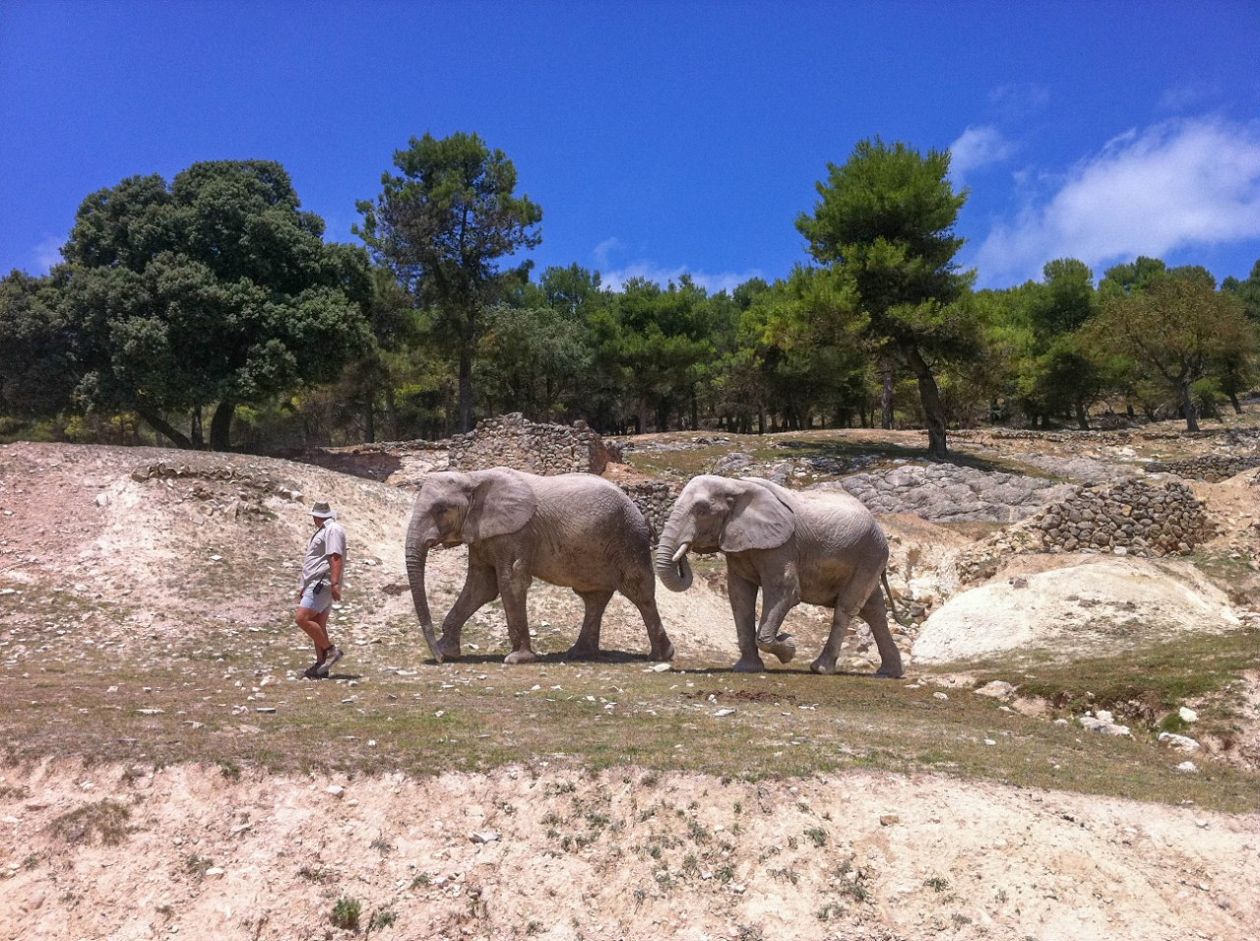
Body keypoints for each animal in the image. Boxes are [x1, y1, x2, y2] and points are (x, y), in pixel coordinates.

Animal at [408, 468, 675, 660]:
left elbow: (510, 581)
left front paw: (517, 659)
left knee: (639, 591)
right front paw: (448, 651)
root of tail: (641, 513)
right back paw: (579, 653)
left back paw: (661, 656)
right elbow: (481, 586)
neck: (473, 478)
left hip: (629, 540)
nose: (437, 658)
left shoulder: (516, 534)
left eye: (441, 509)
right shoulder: (482, 535)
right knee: (594, 597)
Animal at [650, 478, 907, 675]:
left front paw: (789, 646)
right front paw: (747, 669)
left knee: (846, 608)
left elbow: (786, 592)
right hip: (869, 558)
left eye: (701, 510)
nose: (683, 552)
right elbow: (739, 595)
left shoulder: (782, 546)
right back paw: (889, 673)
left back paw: (820, 669)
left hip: (870, 555)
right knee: (874, 610)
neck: (736, 485)